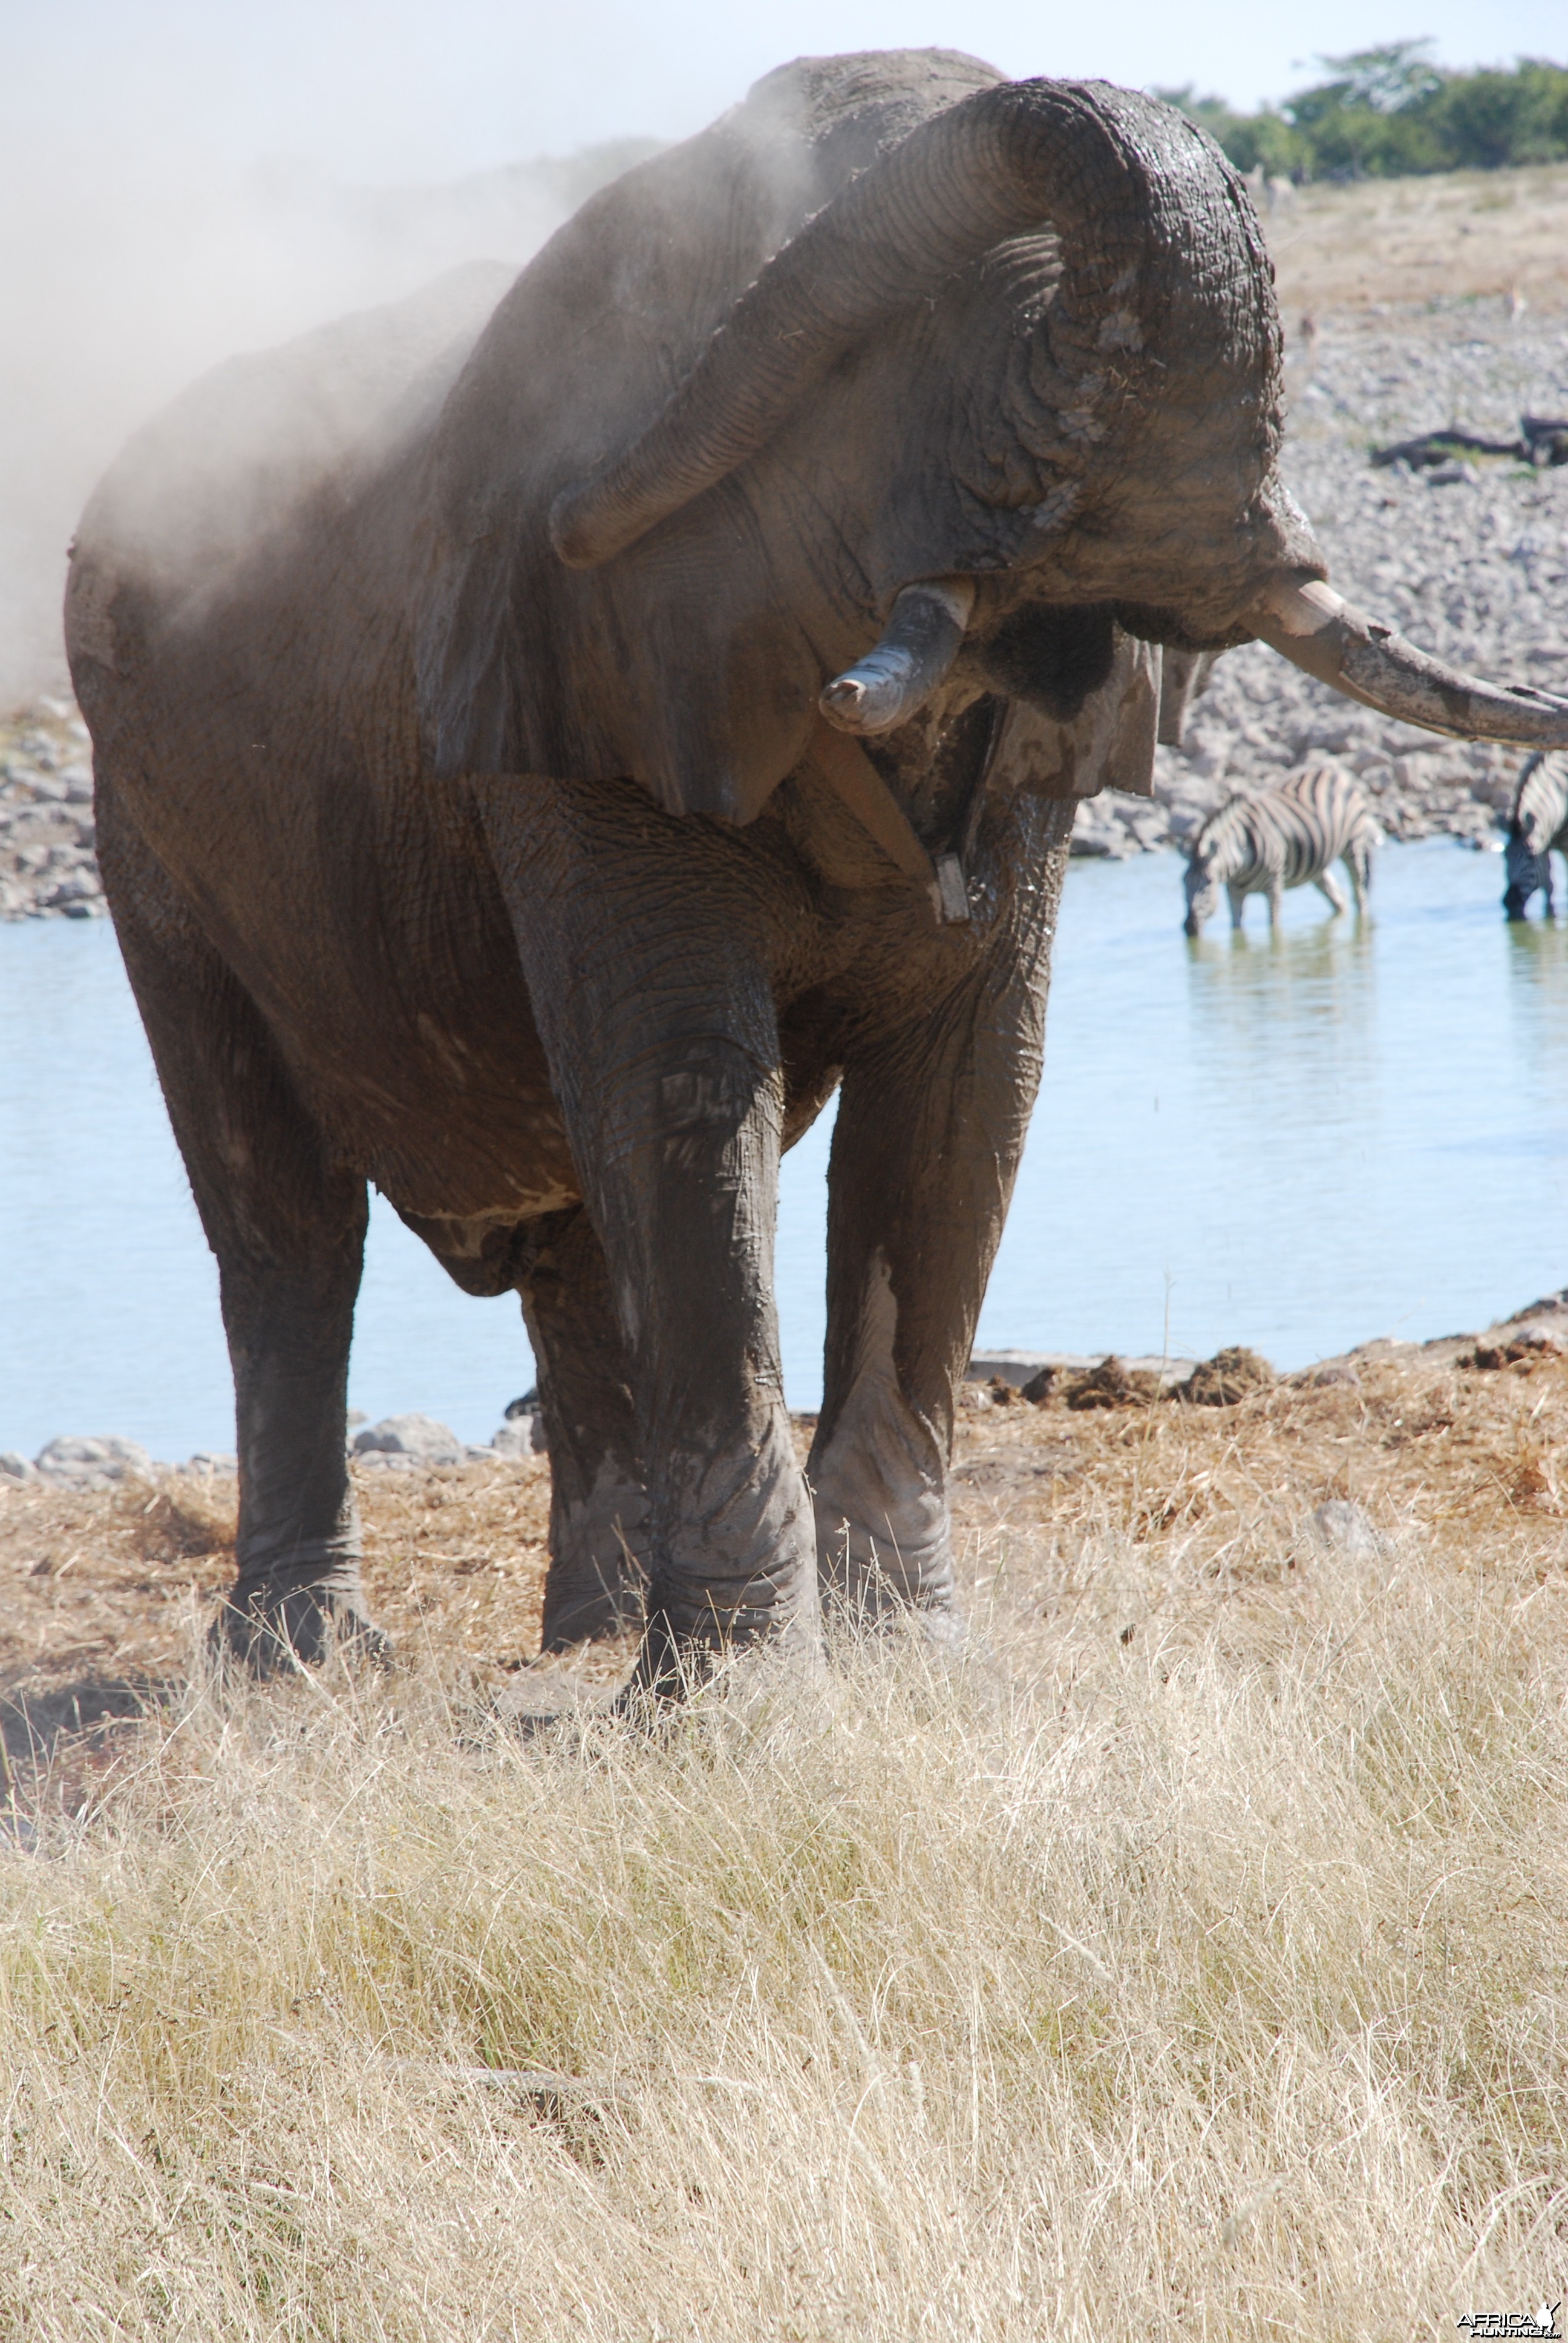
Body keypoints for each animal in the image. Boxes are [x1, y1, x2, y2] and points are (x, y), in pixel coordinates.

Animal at [1181, 754, 1378, 928]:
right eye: (1183, 883)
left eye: (1208, 883)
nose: (1189, 927)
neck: (1241, 860)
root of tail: (1335, 770)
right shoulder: (1234, 891)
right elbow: (1237, 928)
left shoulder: (1275, 883)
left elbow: (1274, 928)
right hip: (1318, 864)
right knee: (1338, 898)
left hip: (1353, 844)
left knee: (1359, 894)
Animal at [1500, 759, 1566, 923]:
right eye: (1504, 857)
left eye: (1531, 855)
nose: (1510, 902)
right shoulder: (1545, 843)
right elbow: (1548, 886)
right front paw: (1550, 914)